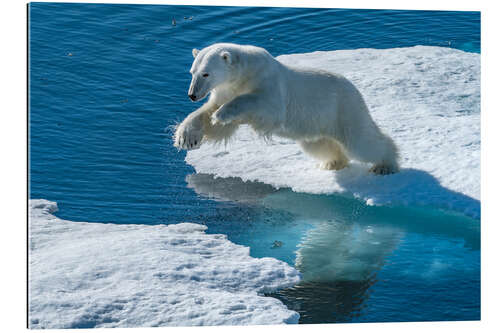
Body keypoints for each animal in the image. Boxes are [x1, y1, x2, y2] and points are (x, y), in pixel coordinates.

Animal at [174, 43, 400, 174]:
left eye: (206, 74)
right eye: (192, 72)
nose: (192, 95)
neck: (244, 73)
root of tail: (354, 89)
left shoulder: (268, 83)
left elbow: (265, 106)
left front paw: (222, 113)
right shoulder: (225, 89)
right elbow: (210, 117)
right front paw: (186, 137)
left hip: (343, 108)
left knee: (362, 142)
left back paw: (385, 165)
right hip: (317, 125)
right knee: (320, 145)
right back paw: (333, 162)